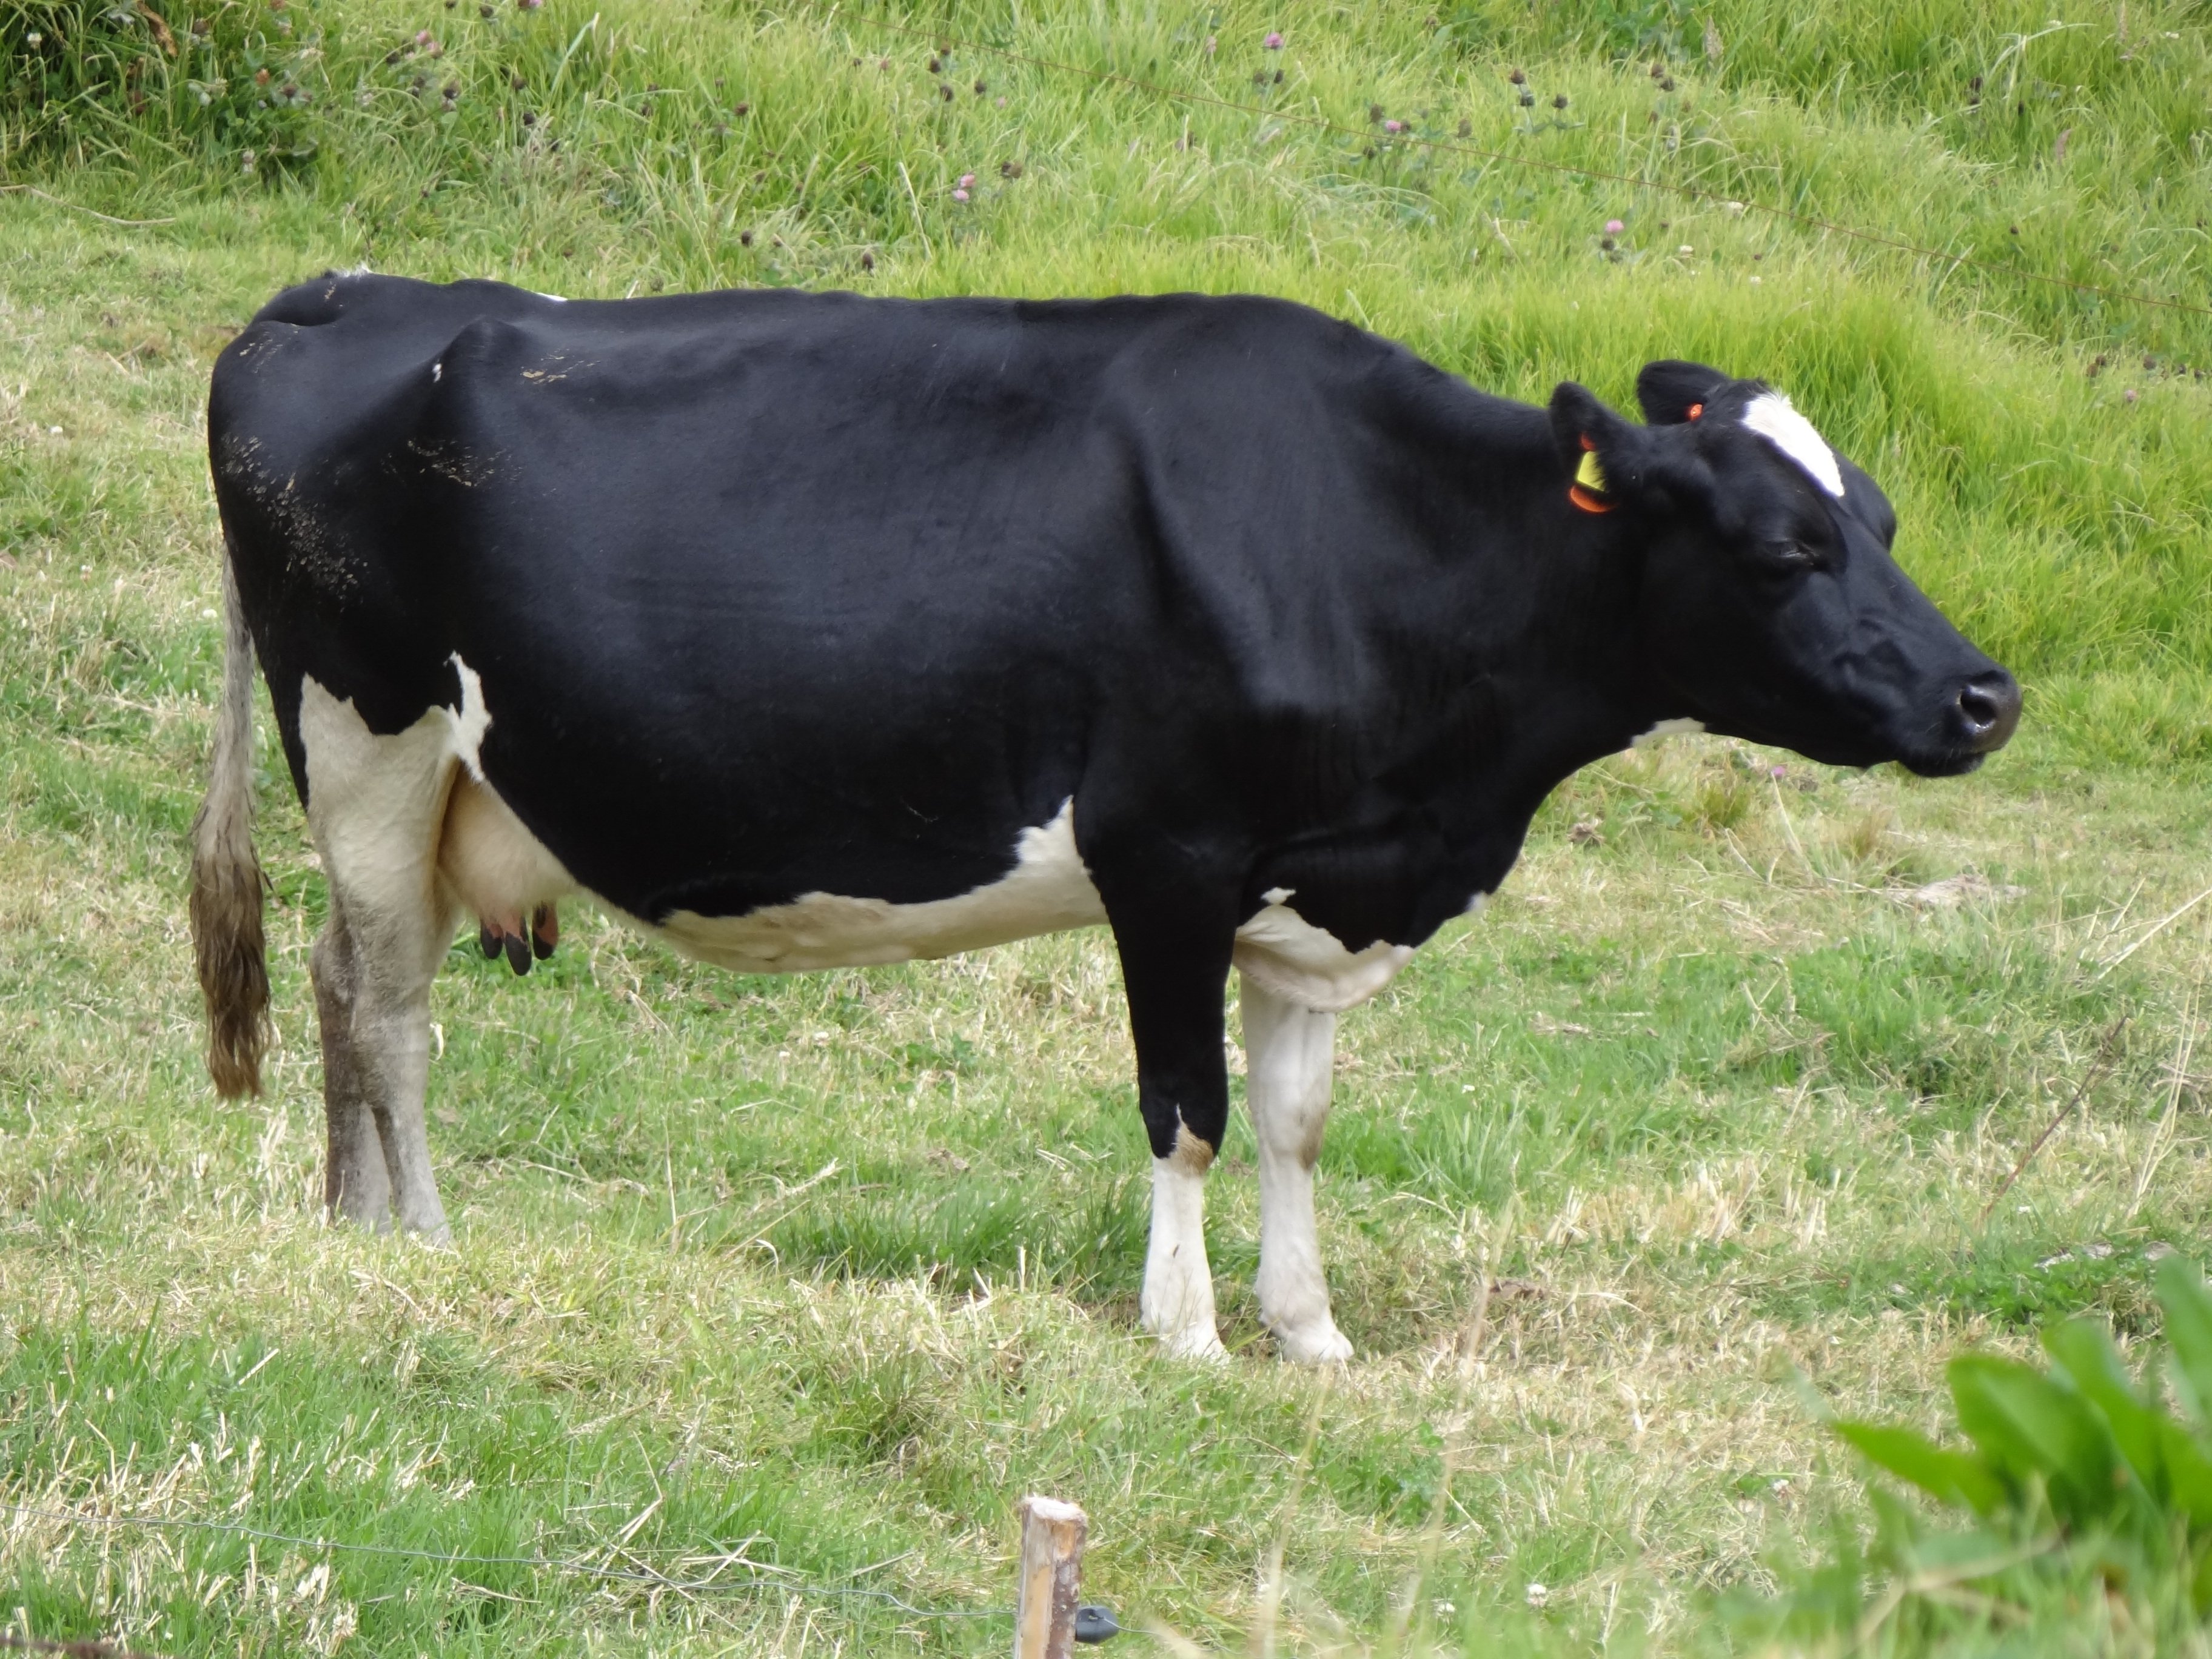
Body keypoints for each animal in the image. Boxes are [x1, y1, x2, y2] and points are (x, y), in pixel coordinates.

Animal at [191, 274, 2019, 1363]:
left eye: (1879, 514)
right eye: (1785, 547)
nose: (1984, 695)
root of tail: (348, 293)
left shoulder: (1314, 888)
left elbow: (1295, 1123)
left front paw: (1312, 1334)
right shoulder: (1171, 857)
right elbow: (1189, 1112)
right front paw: (1190, 1334)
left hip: (436, 784)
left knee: (349, 983)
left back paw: (352, 1225)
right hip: (365, 730)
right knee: (389, 1004)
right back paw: (423, 1235)